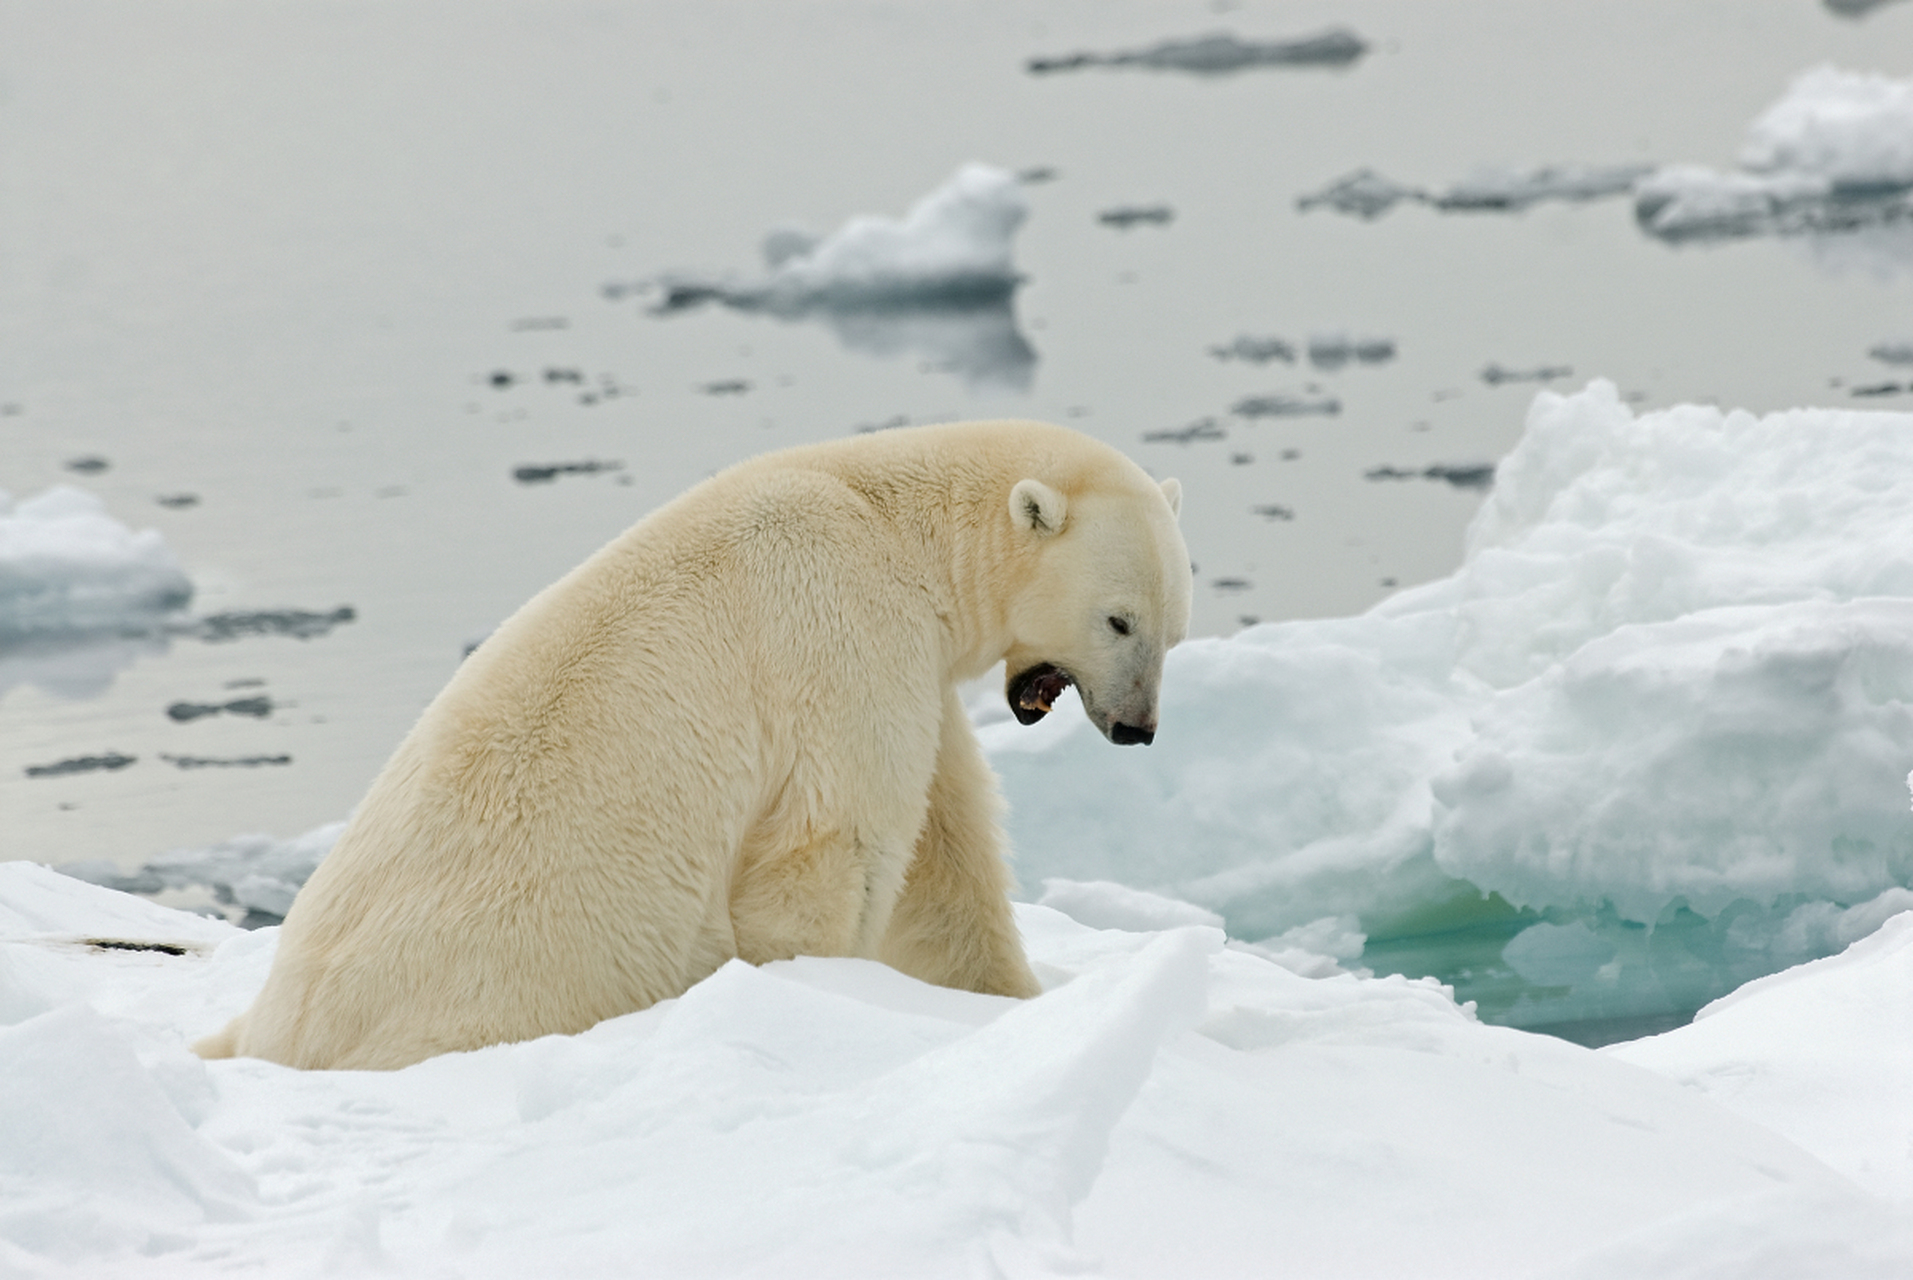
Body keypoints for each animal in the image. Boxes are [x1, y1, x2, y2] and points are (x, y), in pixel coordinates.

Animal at [190, 420, 1178, 1071]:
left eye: (1171, 628)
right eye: (1117, 619)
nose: (1137, 728)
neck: (886, 514)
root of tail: (278, 1038)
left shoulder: (911, 670)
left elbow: (942, 859)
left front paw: (1007, 1001)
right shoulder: (842, 630)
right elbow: (837, 840)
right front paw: (815, 990)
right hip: (526, 970)